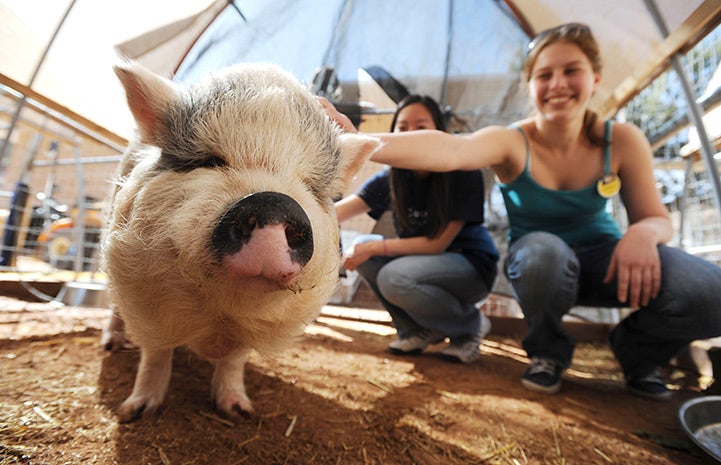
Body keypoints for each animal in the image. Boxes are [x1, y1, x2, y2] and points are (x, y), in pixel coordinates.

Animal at [103, 59, 380, 422]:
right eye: (210, 160)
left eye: (308, 185)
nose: (273, 203)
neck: (222, 310)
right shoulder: (142, 295)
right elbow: (156, 352)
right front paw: (137, 412)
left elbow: (234, 361)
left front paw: (239, 412)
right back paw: (111, 346)